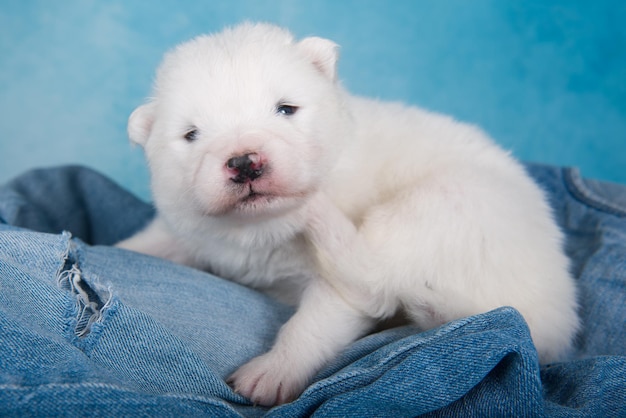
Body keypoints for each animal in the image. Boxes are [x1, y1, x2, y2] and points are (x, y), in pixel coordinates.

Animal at [116, 22, 576, 404]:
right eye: (191, 135)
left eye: (286, 109)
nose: (245, 162)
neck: (260, 228)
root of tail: (551, 322)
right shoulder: (191, 226)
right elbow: (155, 241)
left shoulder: (334, 292)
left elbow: (314, 321)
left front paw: (272, 372)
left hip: (446, 203)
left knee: (374, 279)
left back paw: (318, 215)